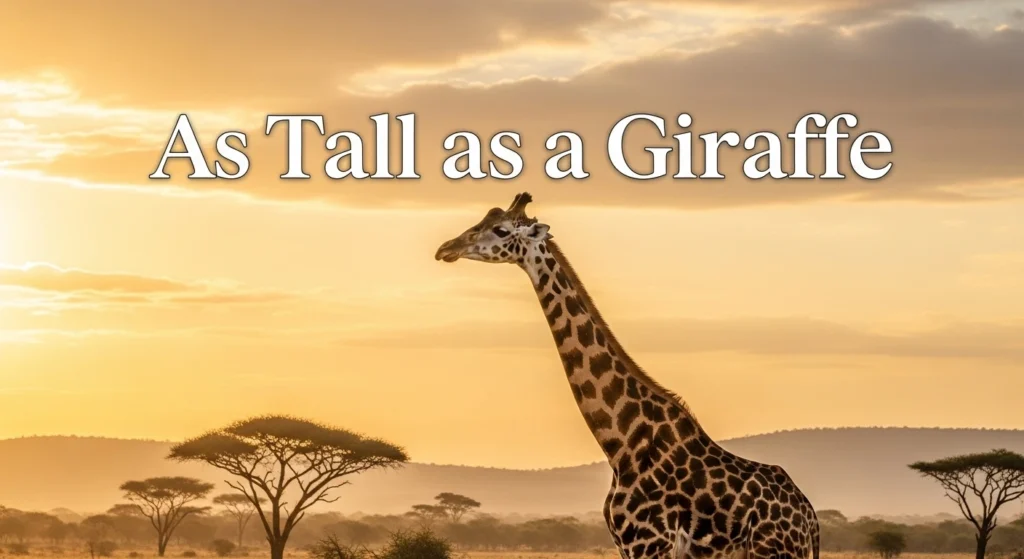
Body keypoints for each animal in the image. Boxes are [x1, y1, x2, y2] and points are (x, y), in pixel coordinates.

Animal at [434, 193, 820, 559]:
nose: (446, 249)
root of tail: (810, 517)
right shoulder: (627, 545)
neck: (622, 445)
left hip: (774, 550)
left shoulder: (649, 543)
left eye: (501, 230)